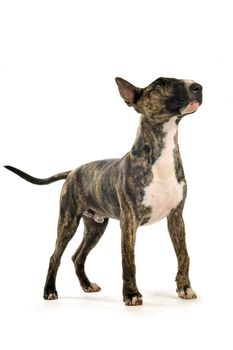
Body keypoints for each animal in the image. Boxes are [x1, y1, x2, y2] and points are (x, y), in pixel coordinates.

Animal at [5, 76, 202, 304]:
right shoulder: (129, 221)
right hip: (68, 221)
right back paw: (49, 290)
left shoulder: (176, 217)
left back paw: (87, 285)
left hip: (95, 227)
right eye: (160, 83)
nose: (197, 87)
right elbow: (129, 260)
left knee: (77, 256)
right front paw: (131, 294)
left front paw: (185, 288)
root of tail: (72, 171)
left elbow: (183, 254)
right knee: (56, 256)